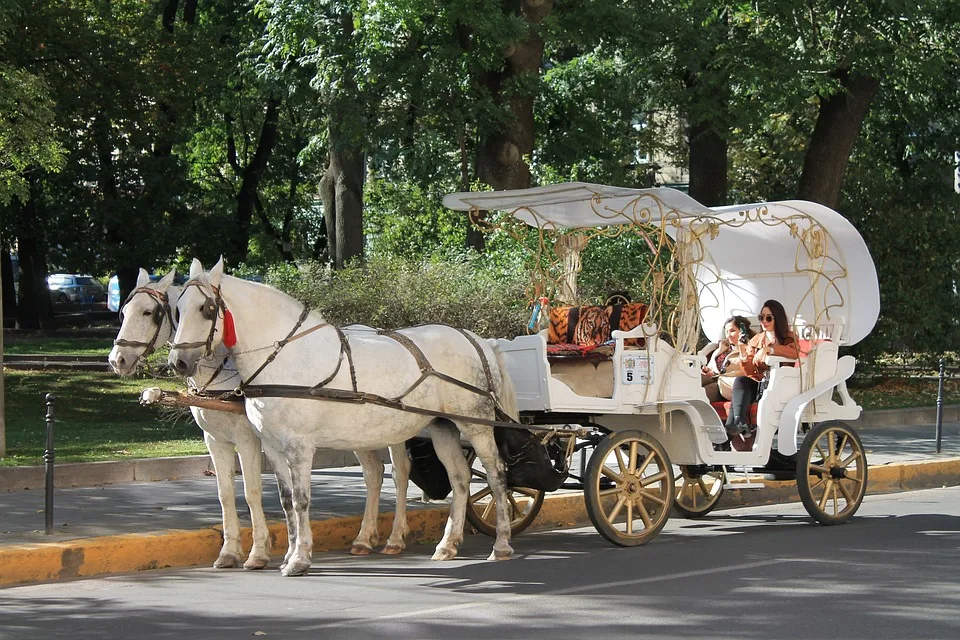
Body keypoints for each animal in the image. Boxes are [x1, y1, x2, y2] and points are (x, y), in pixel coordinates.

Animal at [109, 268, 416, 568]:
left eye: (150, 312)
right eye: (124, 312)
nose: (117, 359)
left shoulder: (249, 439)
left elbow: (252, 491)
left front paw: (258, 552)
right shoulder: (215, 439)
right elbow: (225, 494)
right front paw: (230, 551)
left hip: (392, 430)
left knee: (399, 472)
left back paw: (395, 537)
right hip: (358, 432)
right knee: (374, 473)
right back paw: (365, 537)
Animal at [169, 258, 520, 576]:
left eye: (206, 308)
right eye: (178, 308)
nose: (178, 362)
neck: (284, 355)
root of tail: (479, 341)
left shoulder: (297, 446)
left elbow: (301, 500)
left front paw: (299, 559)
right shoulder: (270, 444)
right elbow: (285, 500)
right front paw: (287, 554)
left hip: (476, 424)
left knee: (495, 475)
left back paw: (501, 543)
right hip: (441, 426)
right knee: (459, 479)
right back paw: (447, 544)